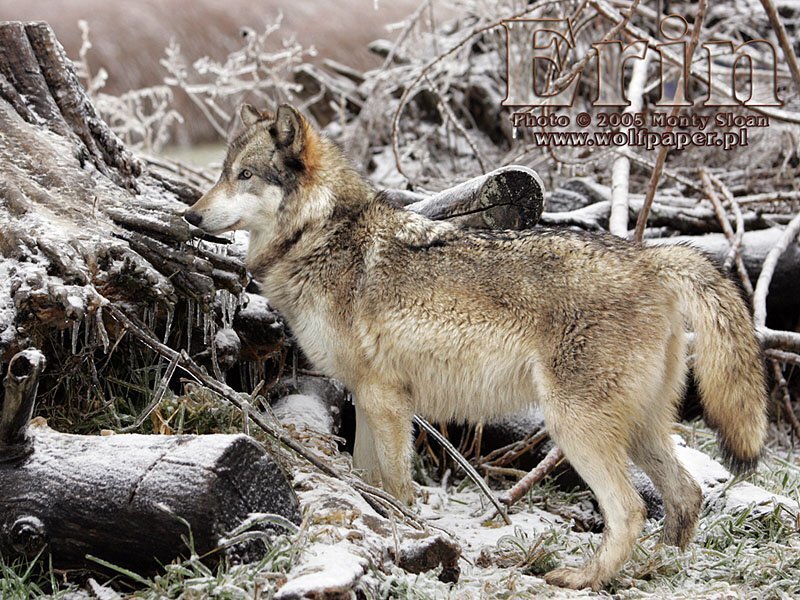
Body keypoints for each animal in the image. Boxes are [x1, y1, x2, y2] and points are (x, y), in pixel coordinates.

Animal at [184, 104, 768, 590]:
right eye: (221, 173)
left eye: (245, 176)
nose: (191, 215)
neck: (319, 233)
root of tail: (652, 258)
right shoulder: (370, 400)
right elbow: (369, 479)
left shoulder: (385, 400)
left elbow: (397, 485)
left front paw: (410, 540)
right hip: (639, 429)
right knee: (686, 495)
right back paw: (660, 569)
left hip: (575, 427)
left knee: (630, 510)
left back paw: (582, 579)